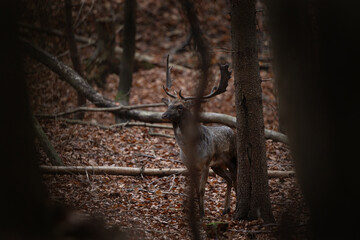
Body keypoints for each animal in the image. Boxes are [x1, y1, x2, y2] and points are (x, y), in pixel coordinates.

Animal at [161, 55, 236, 217]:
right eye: (168, 105)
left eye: (180, 107)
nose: (163, 115)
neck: (190, 149)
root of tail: (232, 130)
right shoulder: (189, 165)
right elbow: (196, 190)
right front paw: (197, 212)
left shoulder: (206, 162)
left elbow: (202, 190)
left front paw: (202, 213)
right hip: (218, 165)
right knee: (229, 179)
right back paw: (225, 209)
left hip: (233, 158)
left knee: (237, 178)